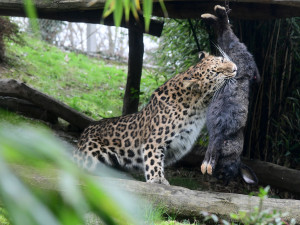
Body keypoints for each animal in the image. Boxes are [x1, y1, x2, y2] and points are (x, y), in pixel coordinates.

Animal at [72, 51, 237, 185]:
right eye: (217, 73)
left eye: (223, 60)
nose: (235, 68)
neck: (199, 104)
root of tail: (83, 135)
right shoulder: (154, 142)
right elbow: (154, 161)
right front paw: (157, 179)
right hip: (90, 158)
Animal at [200, 5, 262, 185]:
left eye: (225, 174)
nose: (220, 178)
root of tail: (248, 75)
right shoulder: (219, 138)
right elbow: (213, 151)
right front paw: (208, 167)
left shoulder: (216, 137)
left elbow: (210, 152)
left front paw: (206, 168)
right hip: (242, 59)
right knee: (230, 37)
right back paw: (219, 12)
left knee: (224, 35)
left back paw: (211, 15)